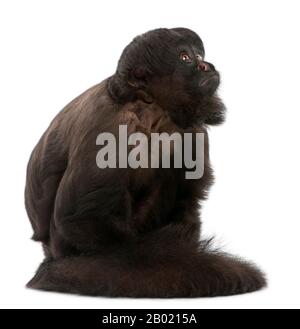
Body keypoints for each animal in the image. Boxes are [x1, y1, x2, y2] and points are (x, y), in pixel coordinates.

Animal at [24, 27, 266, 294]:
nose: (206, 65)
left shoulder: (192, 131)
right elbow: (79, 216)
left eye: (200, 55)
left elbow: (188, 200)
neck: (150, 109)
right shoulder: (112, 125)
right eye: (185, 58)